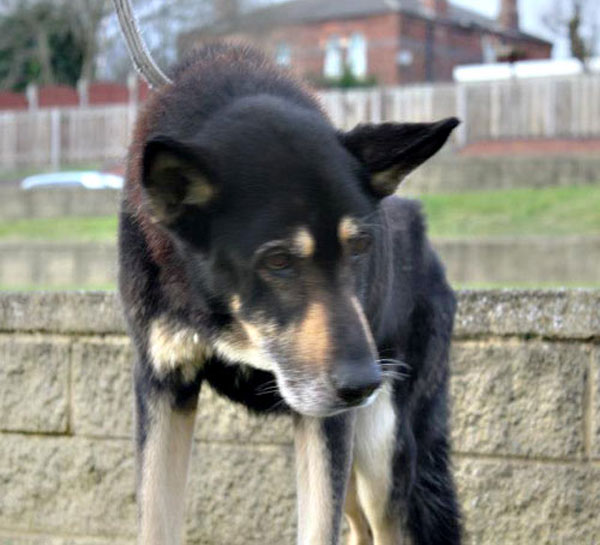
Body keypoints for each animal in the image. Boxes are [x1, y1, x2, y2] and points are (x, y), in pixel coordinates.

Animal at [119, 43, 462, 544]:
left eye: (359, 246)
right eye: (278, 261)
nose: (363, 383)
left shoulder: (327, 421)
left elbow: (318, 528)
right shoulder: (164, 384)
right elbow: (155, 521)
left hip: (381, 452)